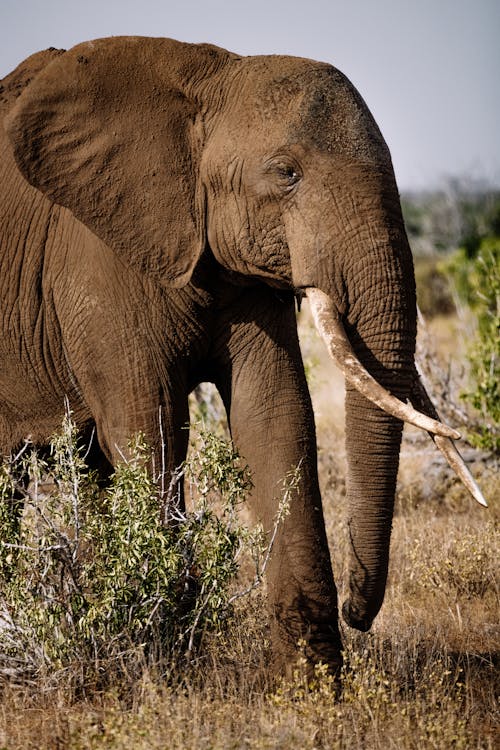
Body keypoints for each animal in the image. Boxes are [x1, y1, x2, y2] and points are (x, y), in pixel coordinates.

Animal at [0, 36, 484, 676]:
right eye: (286, 174)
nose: (358, 610)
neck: (211, 82)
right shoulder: (94, 260)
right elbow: (149, 426)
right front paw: (167, 666)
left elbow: (275, 416)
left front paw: (311, 684)